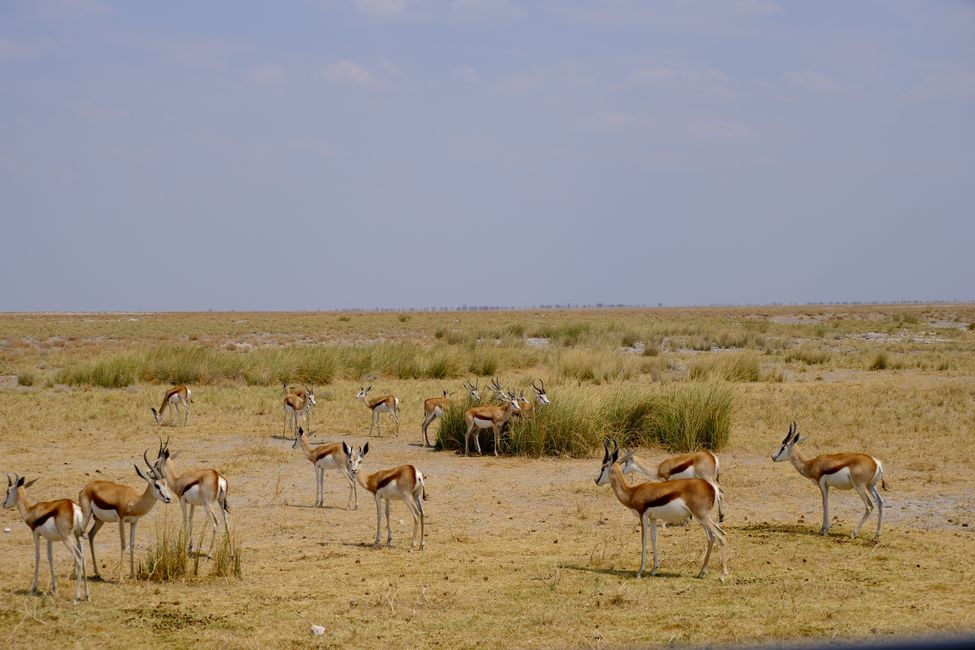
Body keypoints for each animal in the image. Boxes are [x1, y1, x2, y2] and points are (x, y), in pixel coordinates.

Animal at [4, 470, 91, 604]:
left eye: (7, 491)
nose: (3, 504)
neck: (31, 511)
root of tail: (73, 506)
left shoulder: (35, 534)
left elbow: (38, 556)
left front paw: (33, 588)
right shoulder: (49, 538)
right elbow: (50, 558)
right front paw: (54, 588)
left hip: (67, 538)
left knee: (79, 557)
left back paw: (76, 598)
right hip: (77, 536)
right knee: (84, 557)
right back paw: (87, 596)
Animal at [592, 438, 728, 580]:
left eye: (603, 467)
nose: (596, 480)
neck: (632, 492)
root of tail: (711, 488)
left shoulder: (643, 515)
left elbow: (644, 539)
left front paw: (640, 571)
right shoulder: (653, 518)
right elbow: (653, 538)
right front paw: (654, 569)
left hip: (702, 516)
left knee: (721, 535)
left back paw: (723, 575)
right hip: (701, 518)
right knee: (711, 537)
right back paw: (702, 572)